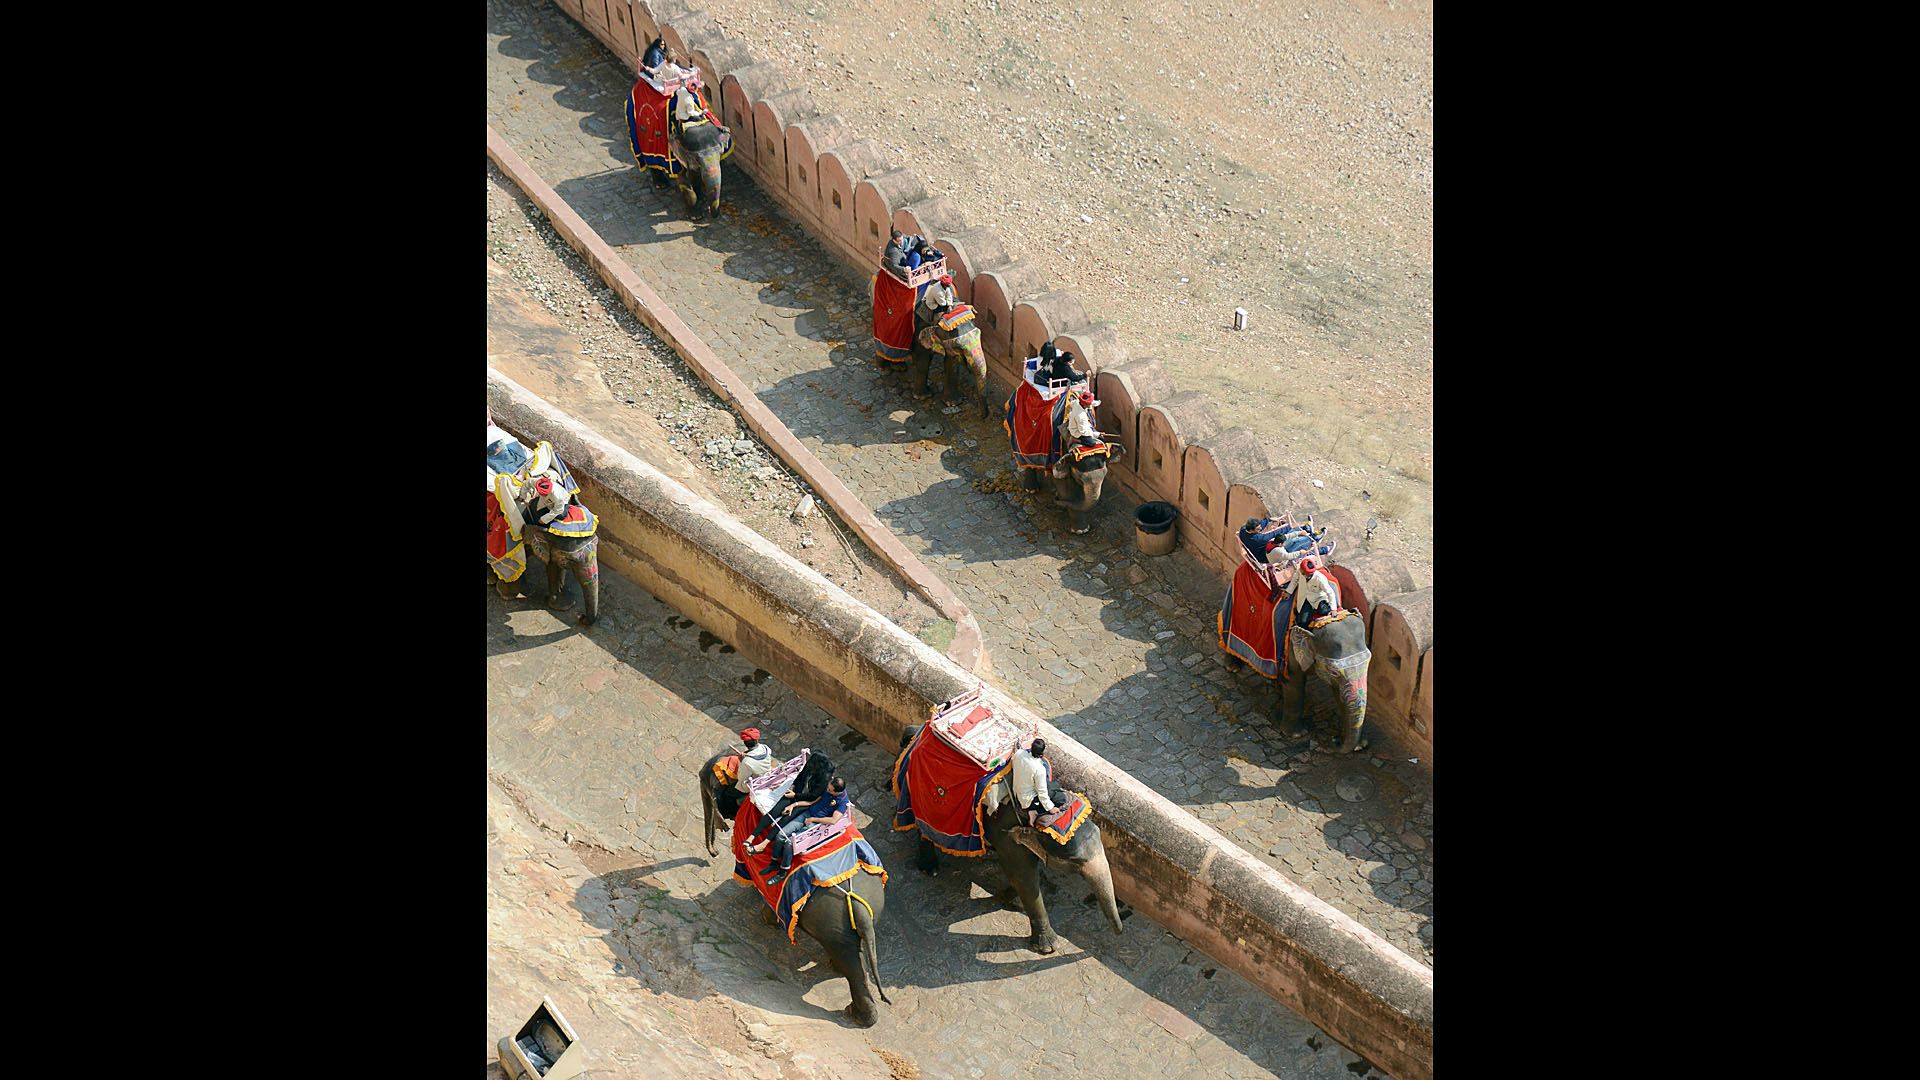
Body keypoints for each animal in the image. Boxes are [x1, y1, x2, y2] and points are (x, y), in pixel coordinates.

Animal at [698, 745, 890, 1022]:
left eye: (707, 784)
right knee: (854, 952)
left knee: (852, 966)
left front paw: (768, 919)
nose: (712, 855)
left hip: (831, 921)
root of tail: (859, 907)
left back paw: (857, 1015)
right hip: (867, 911)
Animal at [894, 722, 1121, 949]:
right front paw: (1048, 947)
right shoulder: (1007, 836)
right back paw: (930, 869)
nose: (1119, 931)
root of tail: (917, 732)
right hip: (919, 794)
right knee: (923, 828)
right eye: (1075, 861)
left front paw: (1011, 898)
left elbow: (1022, 875)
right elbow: (1024, 879)